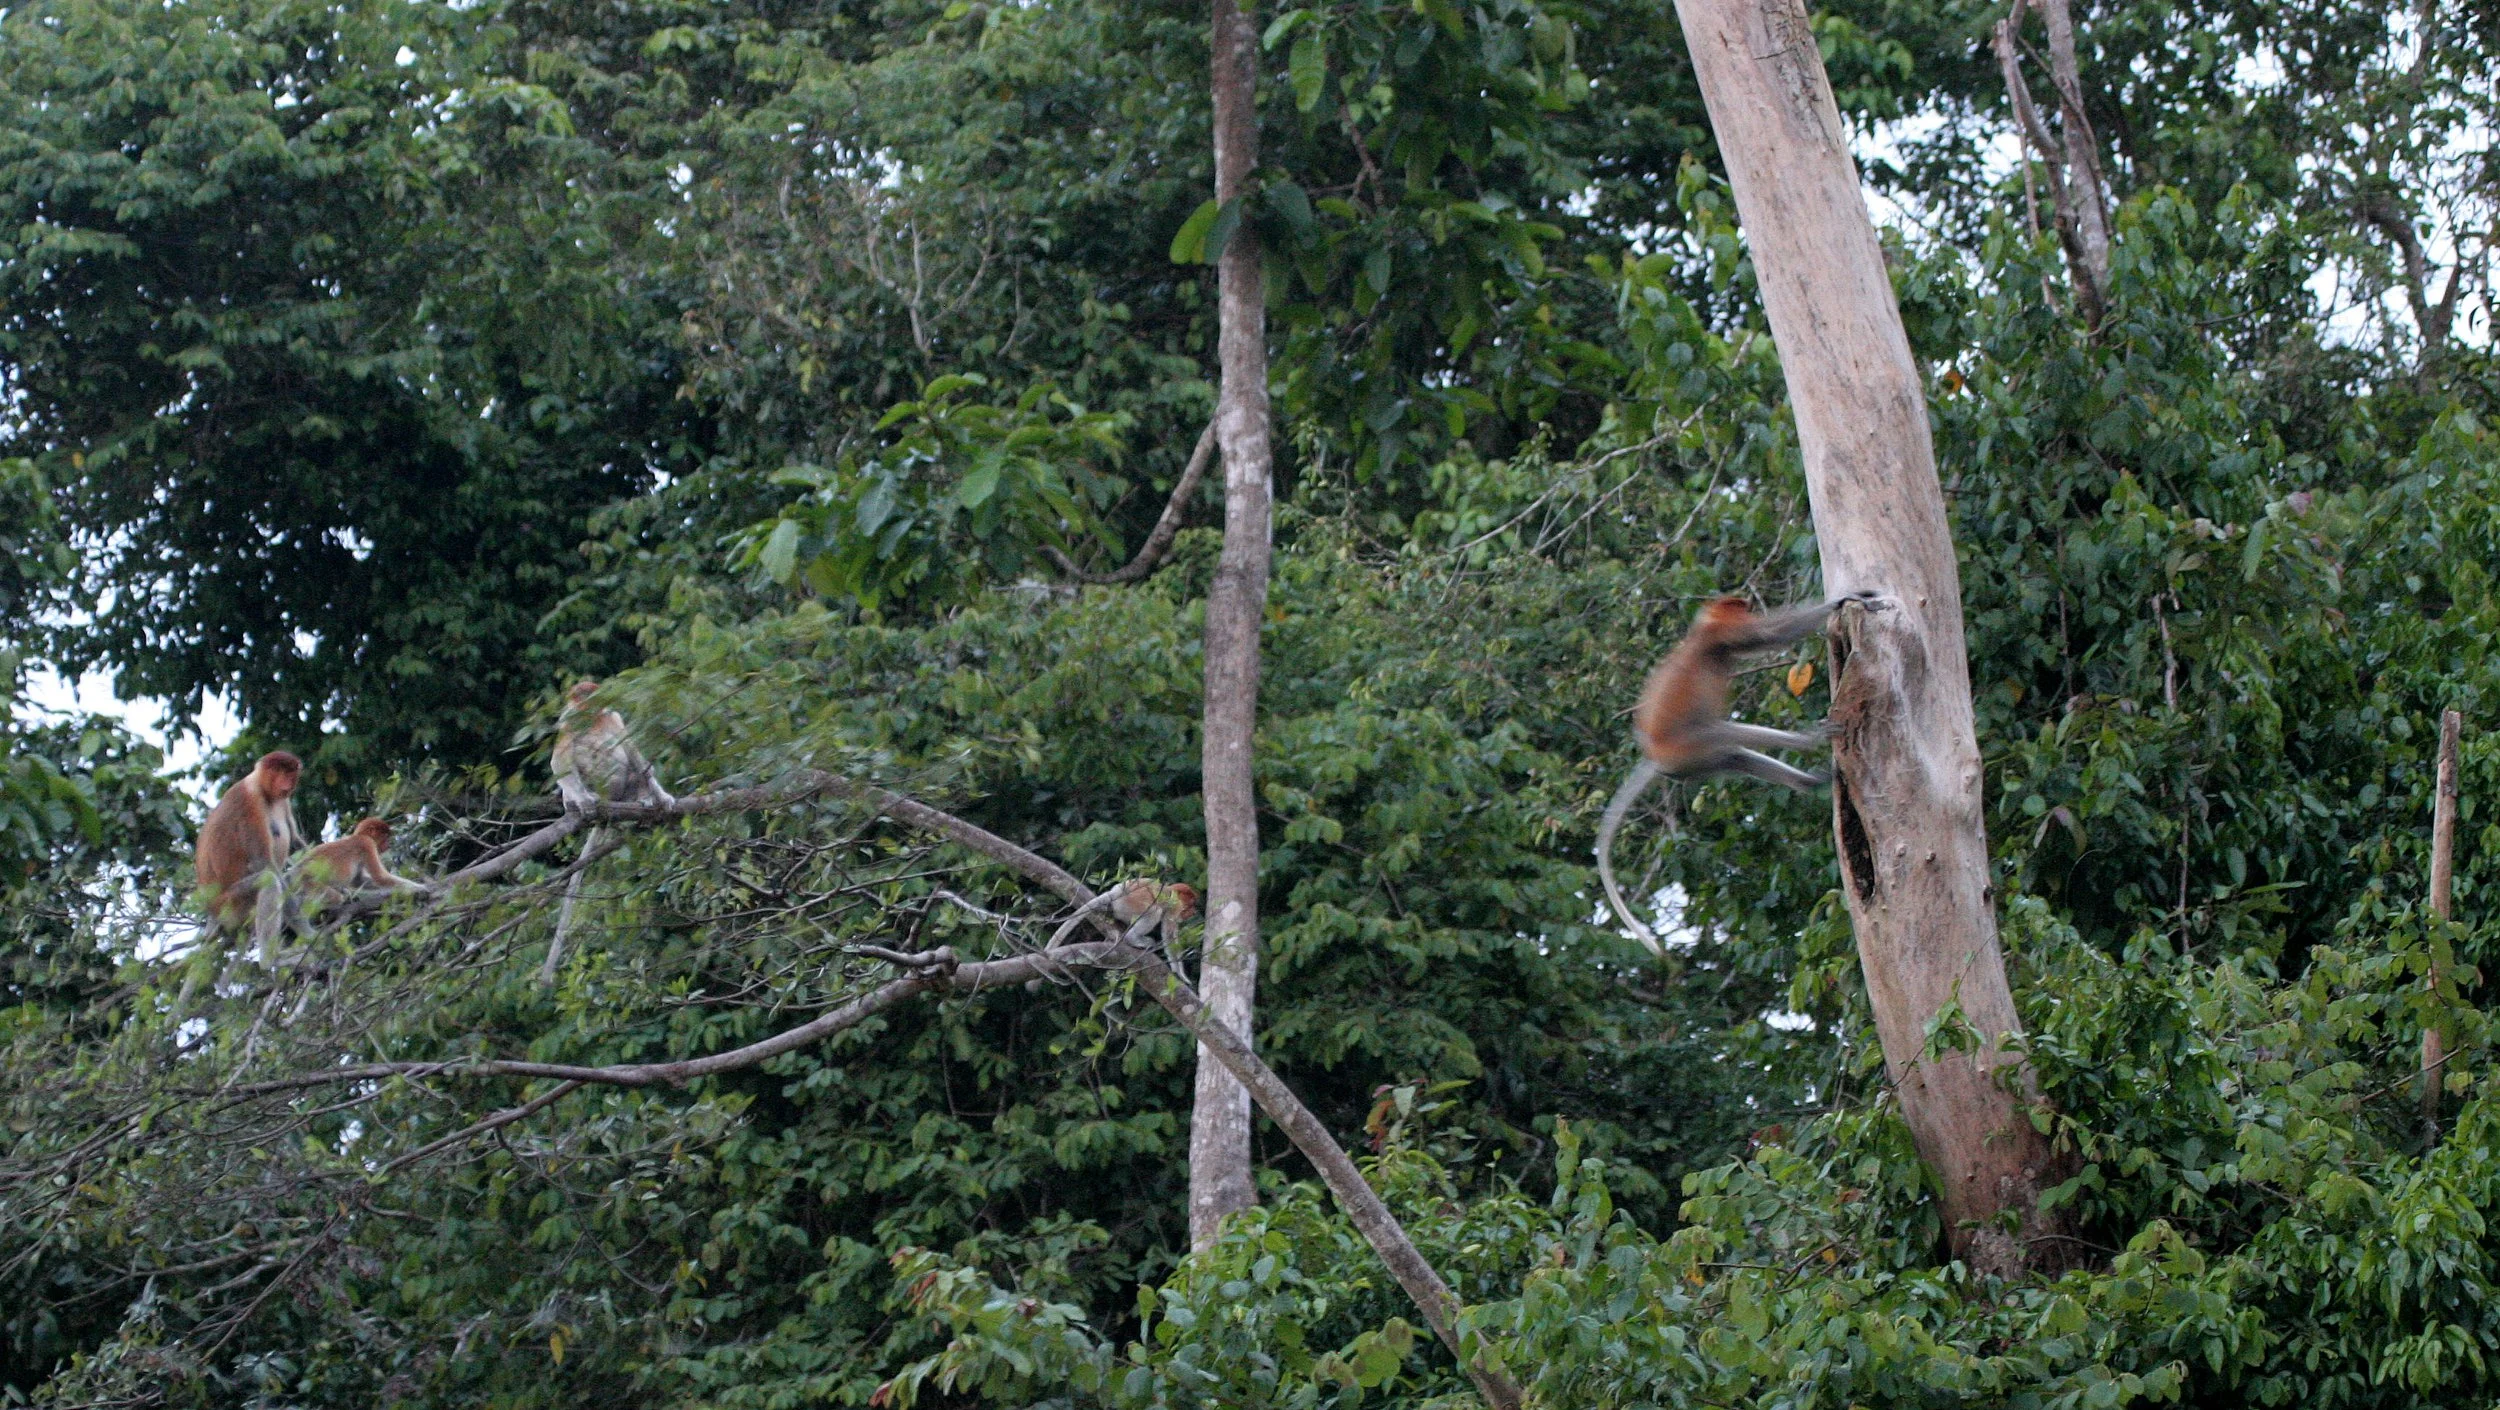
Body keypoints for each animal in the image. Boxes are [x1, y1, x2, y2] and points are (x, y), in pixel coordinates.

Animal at [194, 750, 304, 960]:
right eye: (279, 770)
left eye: (290, 772)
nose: (286, 783)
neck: (263, 788)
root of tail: (211, 910)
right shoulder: (249, 801)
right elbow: (263, 862)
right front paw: (308, 930)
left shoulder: (284, 801)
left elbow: (296, 842)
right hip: (229, 905)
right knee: (268, 881)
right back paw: (270, 959)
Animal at [289, 817, 426, 925]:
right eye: (385, 836)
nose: (388, 845)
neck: (359, 835)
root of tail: (295, 871)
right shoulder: (367, 844)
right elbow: (380, 877)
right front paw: (419, 888)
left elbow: (358, 880)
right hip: (307, 881)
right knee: (334, 897)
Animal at [544, 680, 675, 984]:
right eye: (587, 694)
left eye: (597, 692)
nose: (600, 699)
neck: (591, 718)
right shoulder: (568, 720)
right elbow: (560, 760)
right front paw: (583, 802)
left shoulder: (613, 717)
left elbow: (635, 756)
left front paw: (662, 798)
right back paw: (580, 802)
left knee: (633, 764)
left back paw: (646, 799)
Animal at [1596, 592, 1884, 950]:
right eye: (1739, 606)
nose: (1748, 606)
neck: (1699, 630)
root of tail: (1655, 757)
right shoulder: (1725, 632)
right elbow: (1772, 634)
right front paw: (1844, 600)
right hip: (1687, 747)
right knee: (1722, 731)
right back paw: (1808, 741)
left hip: (1694, 760)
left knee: (1734, 756)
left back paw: (1808, 781)